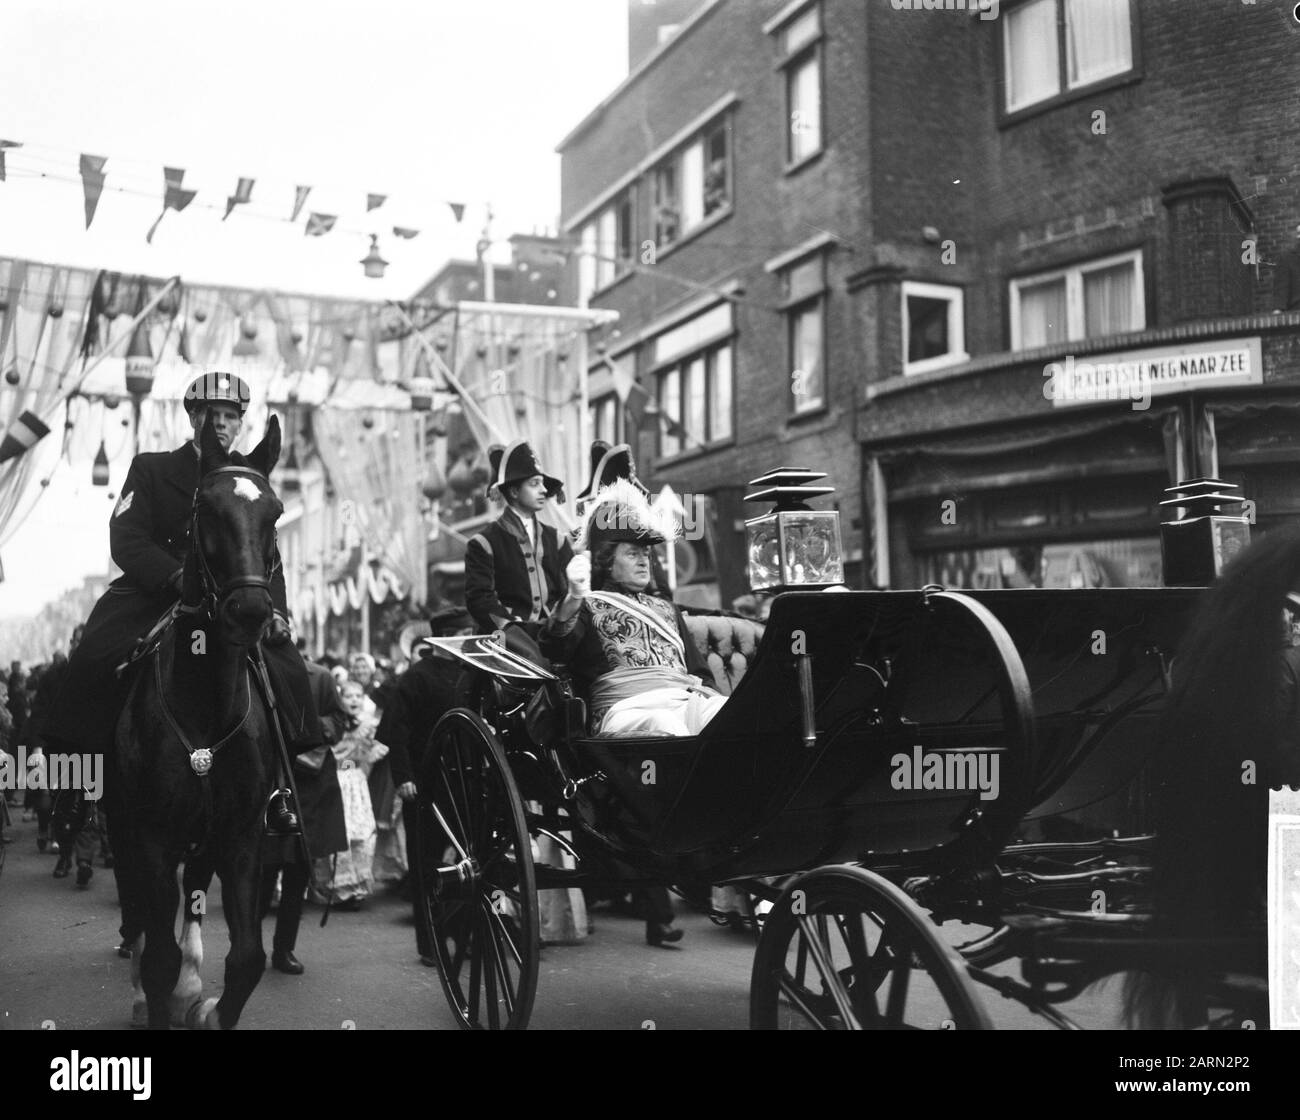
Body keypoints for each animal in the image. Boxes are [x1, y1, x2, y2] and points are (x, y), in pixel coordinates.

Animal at [110, 413, 286, 1034]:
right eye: (204, 510)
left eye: (275, 513)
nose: (252, 612)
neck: (205, 709)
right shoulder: (151, 835)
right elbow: (157, 955)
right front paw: (157, 996)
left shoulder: (241, 834)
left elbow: (248, 957)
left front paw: (205, 1008)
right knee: (139, 909)